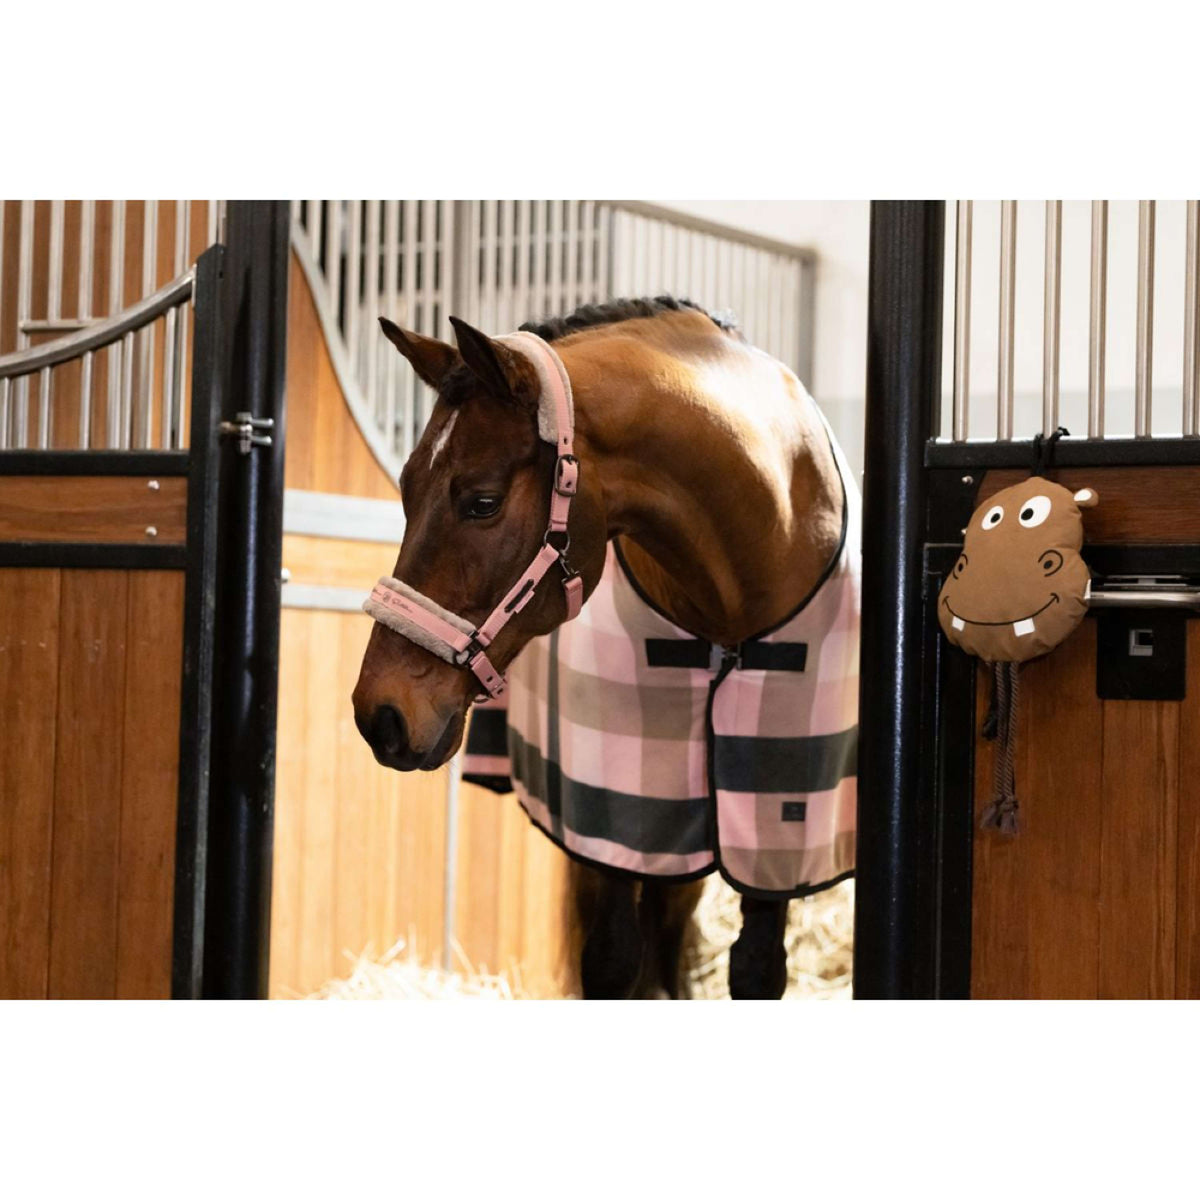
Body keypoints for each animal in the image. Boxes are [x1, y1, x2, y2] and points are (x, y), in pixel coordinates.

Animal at [352, 296, 854, 999]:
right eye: (404, 488)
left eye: (482, 502)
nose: (381, 715)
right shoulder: (614, 822)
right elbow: (613, 960)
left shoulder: (777, 844)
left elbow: (755, 968)